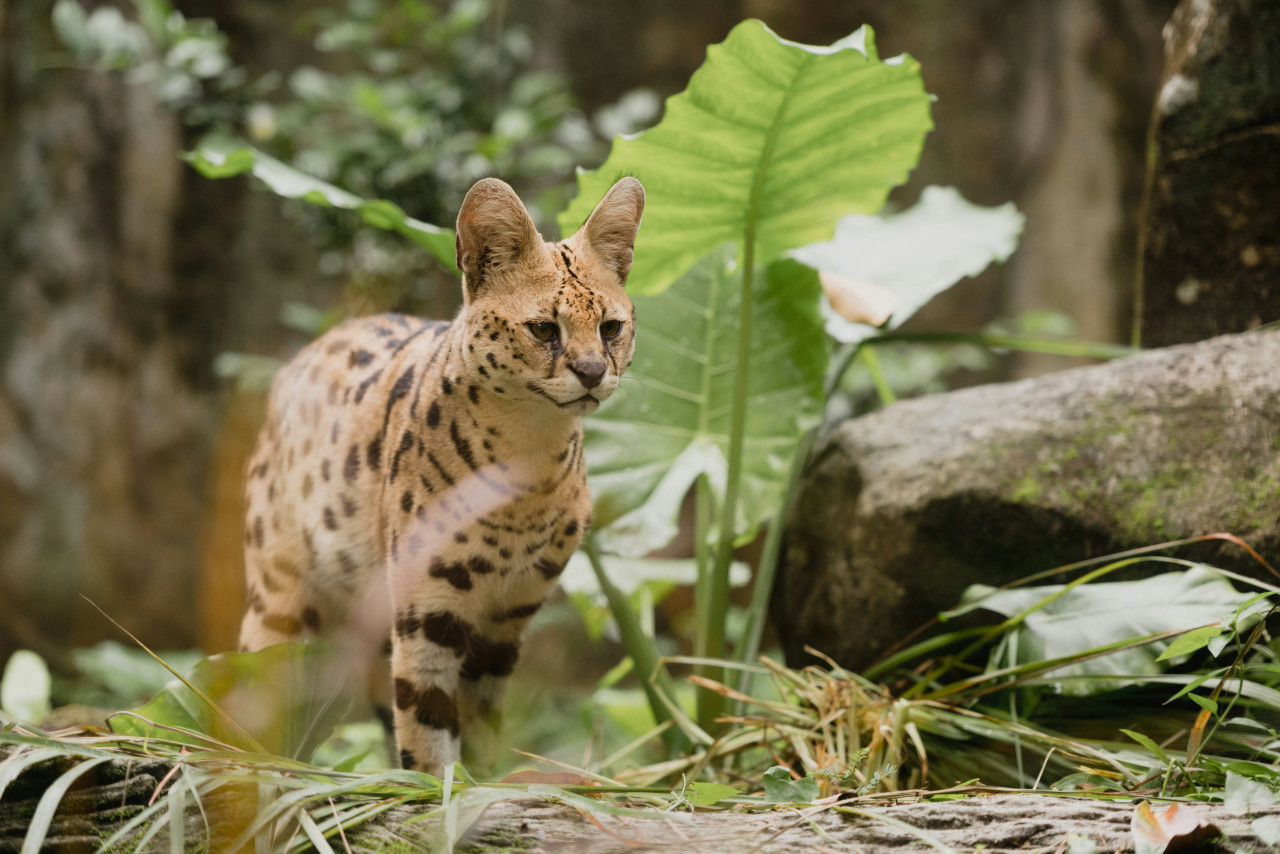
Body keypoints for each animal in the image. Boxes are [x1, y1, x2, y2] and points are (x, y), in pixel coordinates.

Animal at [236, 175, 645, 773]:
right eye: (544, 328)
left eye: (611, 328)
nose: (593, 371)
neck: (528, 464)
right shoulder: (427, 607)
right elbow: (427, 727)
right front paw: (435, 789)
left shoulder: (506, 618)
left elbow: (479, 730)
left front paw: (478, 784)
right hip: (280, 596)